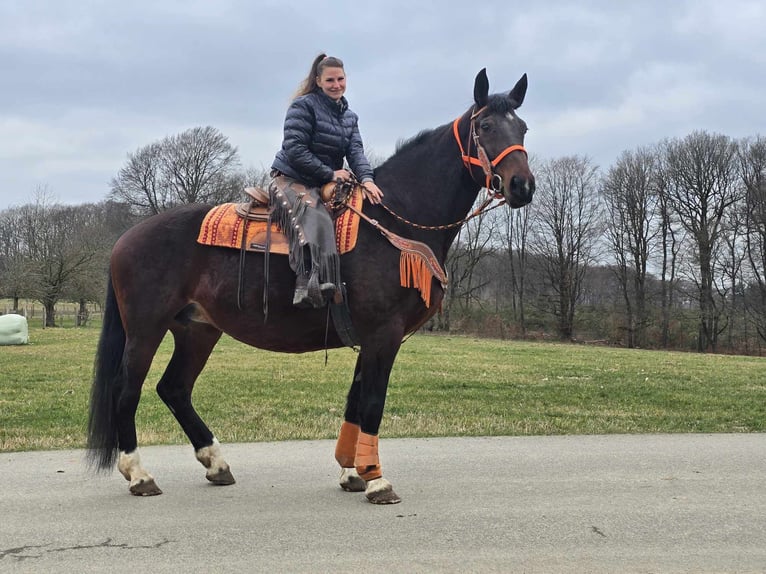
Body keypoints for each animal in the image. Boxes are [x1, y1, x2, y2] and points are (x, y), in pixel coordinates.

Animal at [87, 70, 536, 506]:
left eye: (523, 128)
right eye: (486, 125)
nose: (522, 186)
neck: (393, 221)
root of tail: (128, 237)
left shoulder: (370, 339)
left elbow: (356, 402)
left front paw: (354, 471)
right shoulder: (384, 334)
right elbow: (372, 403)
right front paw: (377, 480)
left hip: (197, 329)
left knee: (175, 388)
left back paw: (216, 463)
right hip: (146, 329)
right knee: (126, 390)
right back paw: (139, 474)